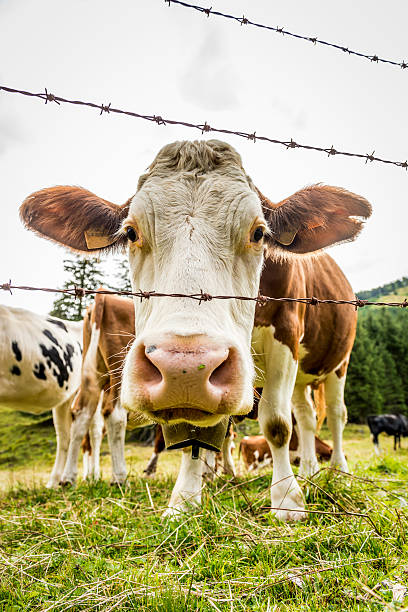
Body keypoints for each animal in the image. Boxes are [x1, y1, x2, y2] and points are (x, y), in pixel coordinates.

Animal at [19, 140, 372, 520]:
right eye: (131, 232)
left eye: (258, 233)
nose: (184, 367)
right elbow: (196, 433)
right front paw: (184, 500)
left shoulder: (285, 335)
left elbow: (277, 423)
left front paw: (287, 500)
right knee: (306, 415)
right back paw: (308, 469)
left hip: (338, 363)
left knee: (334, 413)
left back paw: (338, 470)